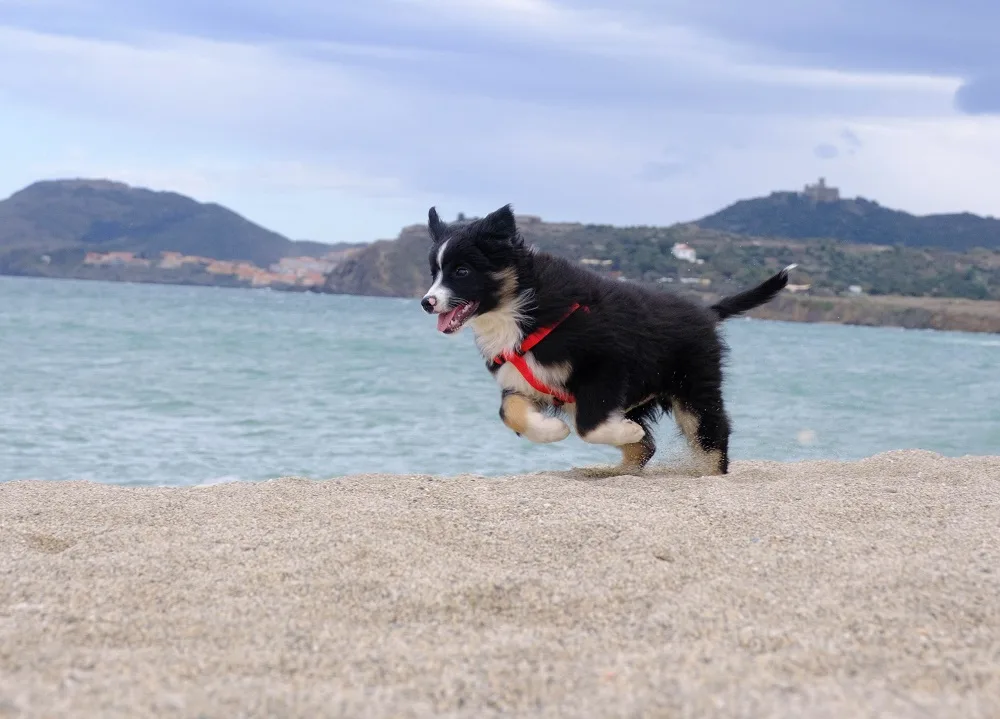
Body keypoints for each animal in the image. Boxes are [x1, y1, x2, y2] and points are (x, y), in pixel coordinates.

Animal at [418, 202, 792, 476]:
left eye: (462, 271)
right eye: (434, 272)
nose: (426, 302)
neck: (520, 307)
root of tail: (706, 311)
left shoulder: (606, 366)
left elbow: (589, 425)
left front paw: (622, 431)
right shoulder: (521, 379)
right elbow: (509, 412)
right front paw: (553, 431)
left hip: (693, 388)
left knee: (712, 432)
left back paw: (706, 472)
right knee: (649, 447)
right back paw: (615, 472)